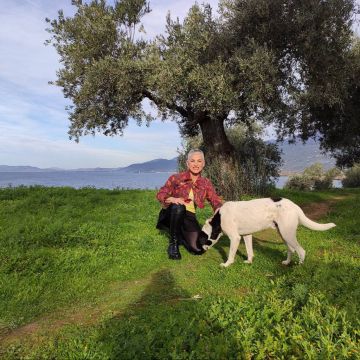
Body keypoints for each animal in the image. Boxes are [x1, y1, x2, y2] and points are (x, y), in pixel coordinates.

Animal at [198, 197, 336, 268]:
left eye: (203, 240)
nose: (201, 251)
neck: (219, 218)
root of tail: (295, 206)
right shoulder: (247, 236)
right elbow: (250, 251)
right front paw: (249, 261)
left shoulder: (235, 238)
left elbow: (231, 255)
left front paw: (226, 264)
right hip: (284, 234)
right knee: (291, 249)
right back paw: (287, 262)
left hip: (287, 234)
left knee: (301, 251)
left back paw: (299, 267)